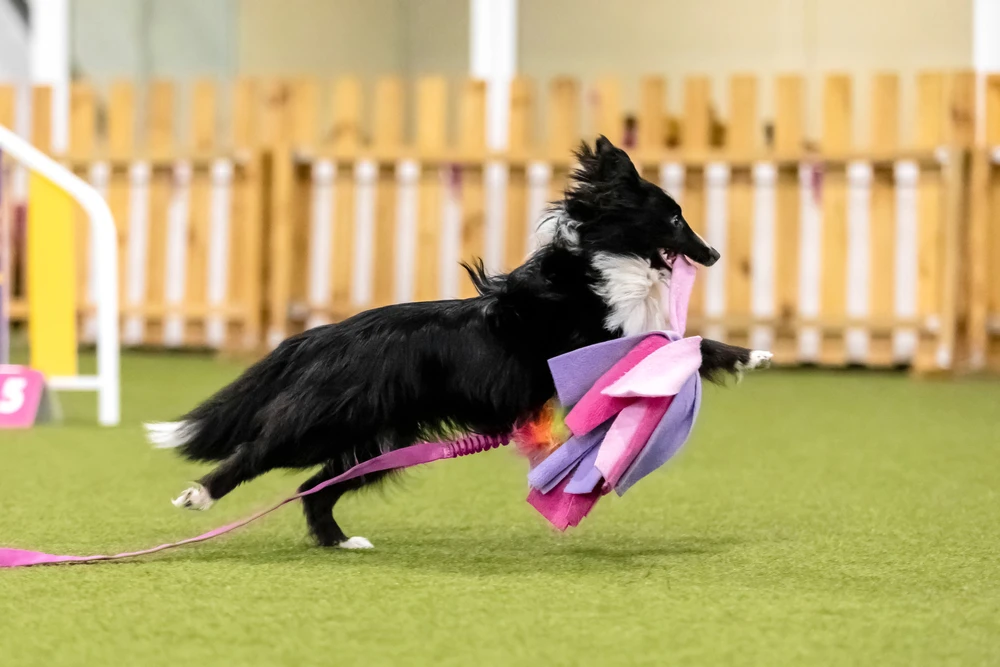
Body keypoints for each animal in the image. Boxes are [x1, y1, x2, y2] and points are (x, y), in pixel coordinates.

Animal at [145, 134, 768, 548]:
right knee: (258, 452)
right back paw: (199, 496)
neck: (602, 264)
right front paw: (751, 355)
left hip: (376, 443)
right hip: (325, 420)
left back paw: (341, 542)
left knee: (315, 486)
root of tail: (323, 335)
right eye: (674, 218)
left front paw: (752, 356)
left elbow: (690, 345)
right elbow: (687, 346)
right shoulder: (606, 347)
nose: (714, 254)